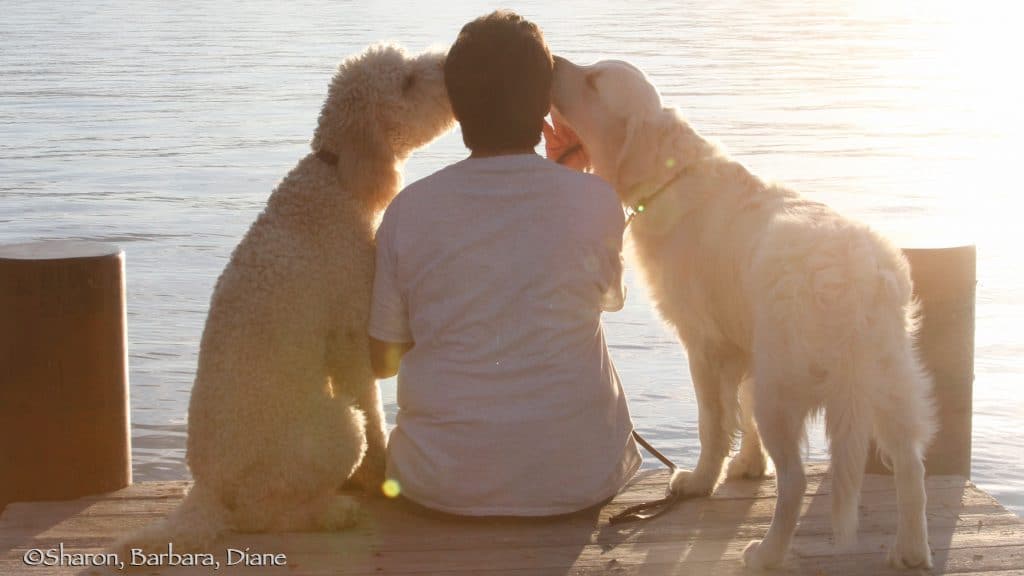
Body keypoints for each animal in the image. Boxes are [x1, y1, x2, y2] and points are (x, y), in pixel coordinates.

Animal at [118, 45, 452, 553]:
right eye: (408, 82)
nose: (450, 62)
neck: (334, 174)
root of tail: (206, 490)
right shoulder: (350, 336)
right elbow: (373, 407)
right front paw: (378, 476)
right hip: (332, 429)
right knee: (260, 515)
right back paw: (332, 512)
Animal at [552, 56, 937, 565]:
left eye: (594, 81)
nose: (553, 62)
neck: (670, 172)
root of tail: (852, 280)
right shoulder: (744, 342)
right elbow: (742, 408)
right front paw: (749, 465)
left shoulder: (703, 345)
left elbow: (713, 421)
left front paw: (699, 481)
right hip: (889, 381)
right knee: (912, 466)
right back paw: (911, 551)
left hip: (786, 387)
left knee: (795, 480)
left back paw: (766, 552)